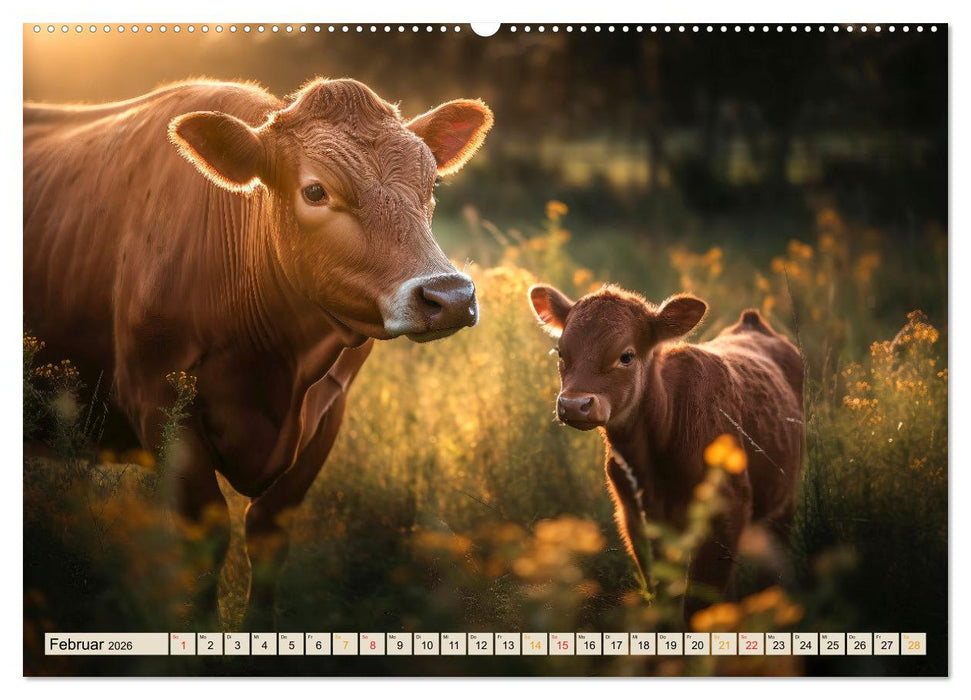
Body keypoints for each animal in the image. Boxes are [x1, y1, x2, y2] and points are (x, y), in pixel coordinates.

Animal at [24, 77, 493, 628]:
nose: (450, 296)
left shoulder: (328, 412)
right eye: (315, 190)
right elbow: (207, 540)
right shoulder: (156, 404)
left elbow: (268, 534)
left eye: (431, 185)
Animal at [527, 283, 803, 617]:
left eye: (626, 356)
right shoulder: (636, 518)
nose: (573, 404)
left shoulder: (727, 511)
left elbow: (698, 602)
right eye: (561, 352)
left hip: (783, 502)